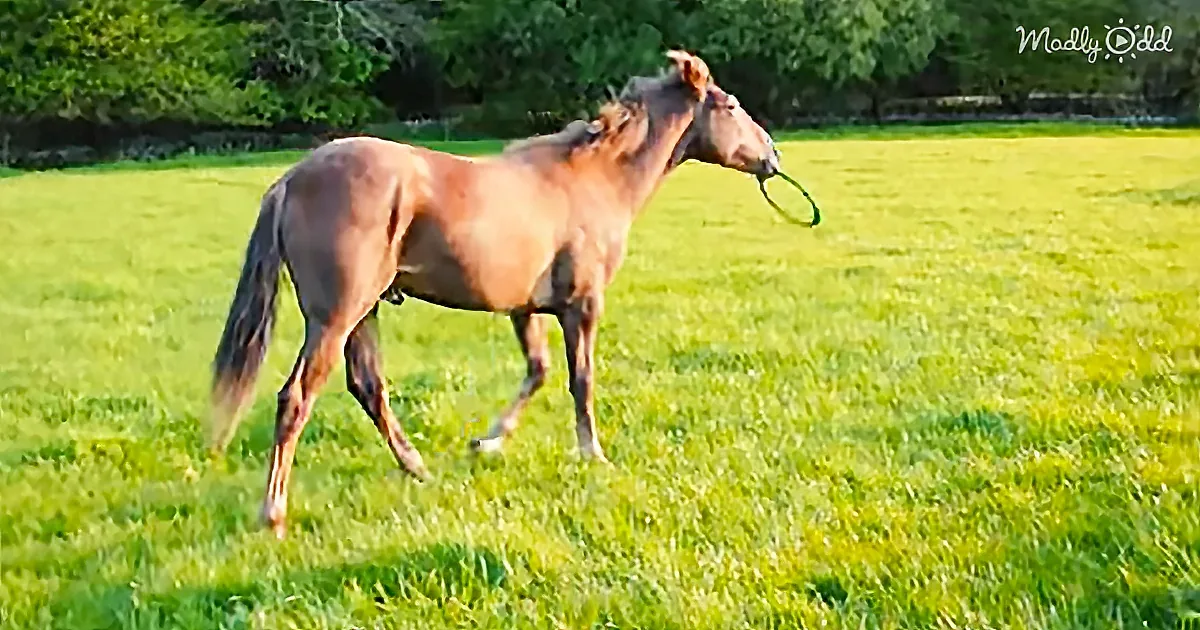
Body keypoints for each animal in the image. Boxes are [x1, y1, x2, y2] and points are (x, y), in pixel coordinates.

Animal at [208, 50, 783, 538]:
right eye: (731, 105)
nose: (772, 156)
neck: (593, 180)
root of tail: (289, 179)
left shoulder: (523, 308)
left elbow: (538, 371)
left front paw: (486, 442)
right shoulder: (582, 304)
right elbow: (581, 379)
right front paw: (592, 453)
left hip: (363, 313)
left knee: (368, 386)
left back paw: (416, 467)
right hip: (336, 316)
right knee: (297, 398)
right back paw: (273, 513)